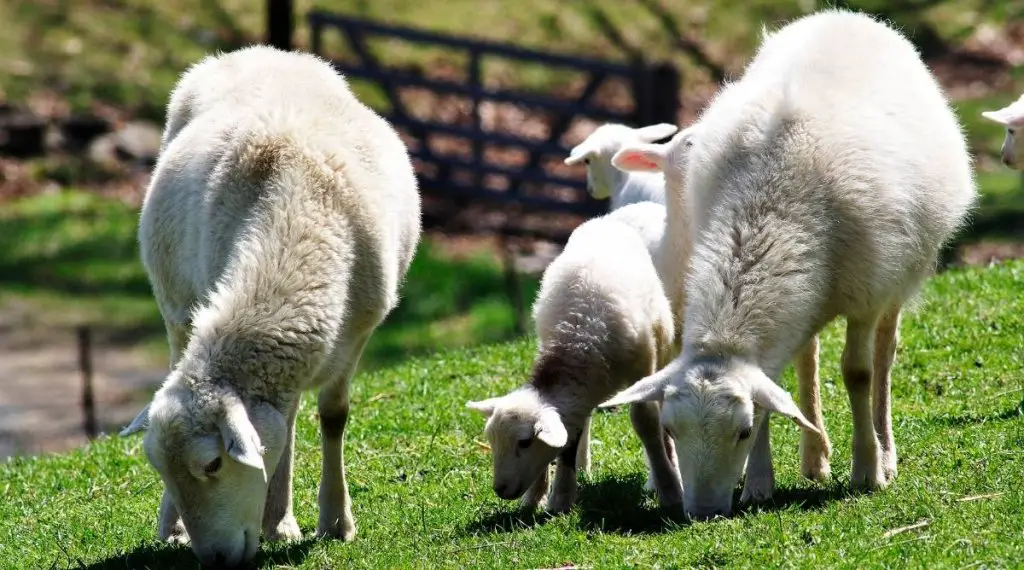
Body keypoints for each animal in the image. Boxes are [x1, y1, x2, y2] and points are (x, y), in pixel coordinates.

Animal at [118, 45, 421, 566]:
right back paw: (183, 526)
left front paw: (333, 521)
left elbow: (333, 417)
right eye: (161, 471)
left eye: (213, 464)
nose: (215, 561)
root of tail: (253, 50)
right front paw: (279, 522)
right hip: (176, 309)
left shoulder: (357, 332)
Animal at [466, 203, 682, 513]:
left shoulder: (642, 367)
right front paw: (553, 496)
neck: (577, 337)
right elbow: (570, 435)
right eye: (491, 440)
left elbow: (646, 422)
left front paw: (669, 488)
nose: (501, 490)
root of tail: (609, 219)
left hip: (662, 346)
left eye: (524, 442)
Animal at [600, 9, 977, 520]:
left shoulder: (865, 293)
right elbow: (774, 383)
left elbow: (857, 374)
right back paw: (814, 458)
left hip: (901, 272)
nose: (702, 513)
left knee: (884, 356)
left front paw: (867, 471)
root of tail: (844, 14)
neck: (767, 208)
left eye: (740, 431)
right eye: (672, 429)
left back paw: (885, 450)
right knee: (806, 357)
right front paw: (760, 483)